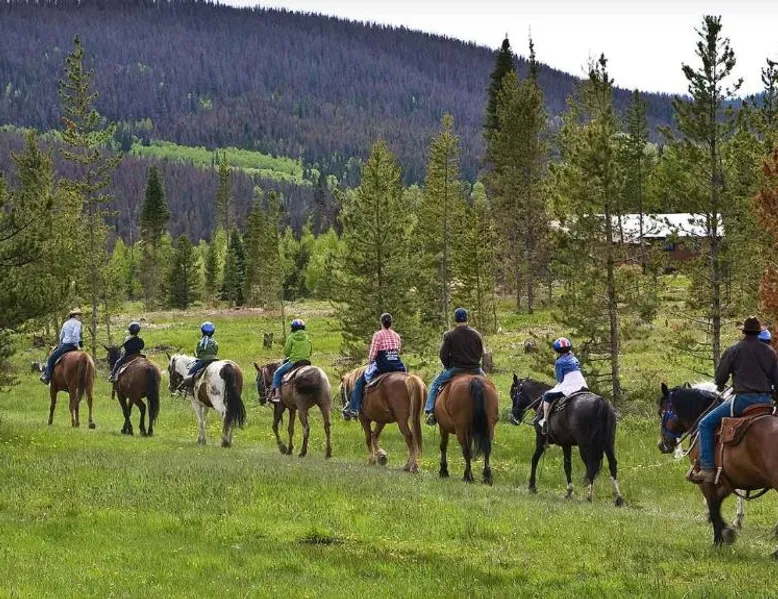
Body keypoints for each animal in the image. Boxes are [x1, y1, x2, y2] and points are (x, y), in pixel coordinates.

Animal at [510, 374, 623, 505]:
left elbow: (535, 460)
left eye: (513, 395)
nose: (513, 419)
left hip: (586, 445)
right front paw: (569, 491)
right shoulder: (566, 444)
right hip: (608, 443)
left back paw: (589, 496)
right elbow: (567, 466)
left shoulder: (541, 439)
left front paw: (532, 486)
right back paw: (618, 498)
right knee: (612, 464)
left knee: (591, 466)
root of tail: (601, 402)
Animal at [657, 382, 778, 554]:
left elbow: (714, 505)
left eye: (661, 413)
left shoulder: (705, 479)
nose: (662, 445)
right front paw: (728, 528)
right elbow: (719, 502)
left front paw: (721, 536)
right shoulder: (727, 480)